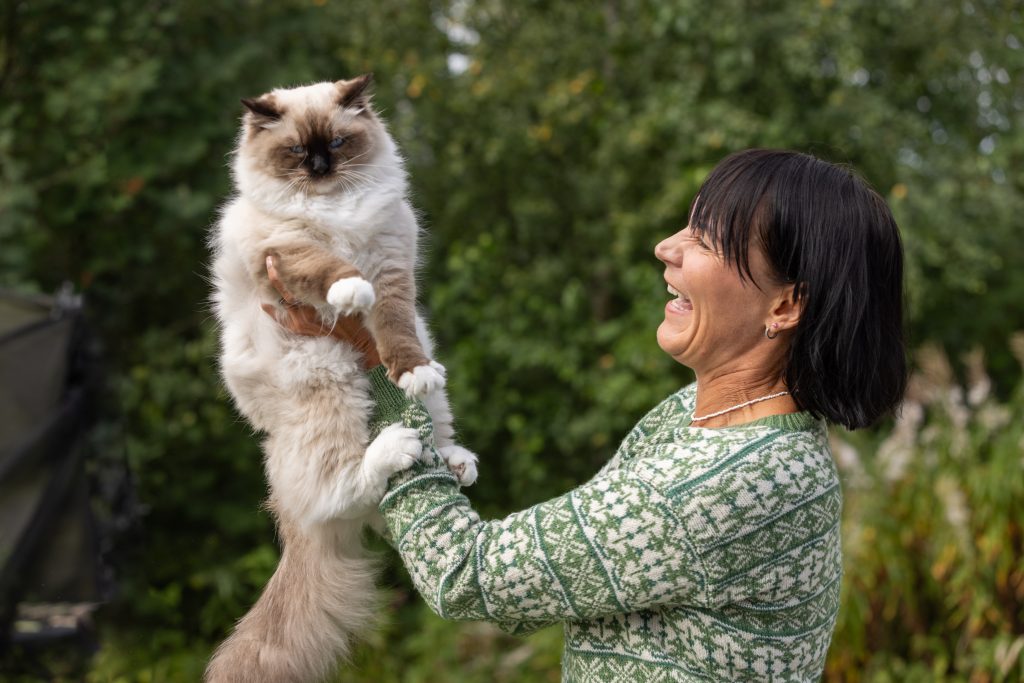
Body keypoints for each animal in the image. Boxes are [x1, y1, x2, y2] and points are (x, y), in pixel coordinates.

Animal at [205, 74, 478, 682]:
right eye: (293, 151)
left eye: (336, 142)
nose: (319, 167)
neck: (335, 212)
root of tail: (291, 525)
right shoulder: (283, 252)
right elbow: (331, 269)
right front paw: (350, 292)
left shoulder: (394, 272)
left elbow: (396, 332)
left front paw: (409, 370)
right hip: (329, 381)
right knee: (342, 491)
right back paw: (396, 447)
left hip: (424, 386)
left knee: (421, 445)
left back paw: (454, 461)